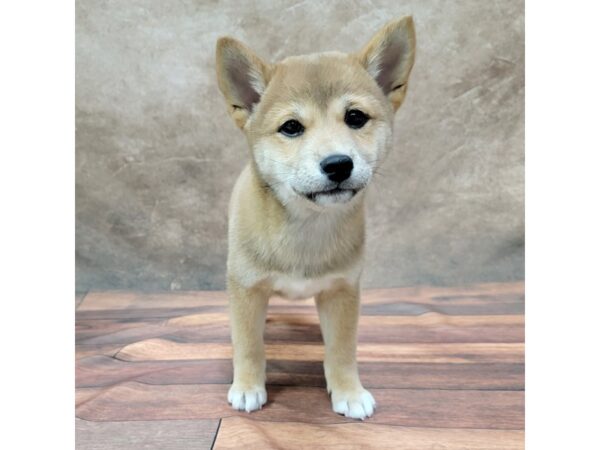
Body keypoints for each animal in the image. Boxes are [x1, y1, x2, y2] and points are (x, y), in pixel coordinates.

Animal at [216, 16, 418, 418]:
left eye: (355, 117)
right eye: (291, 127)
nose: (338, 164)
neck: (307, 228)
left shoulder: (342, 291)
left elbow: (341, 350)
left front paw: (349, 392)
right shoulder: (247, 288)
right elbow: (248, 345)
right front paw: (248, 387)